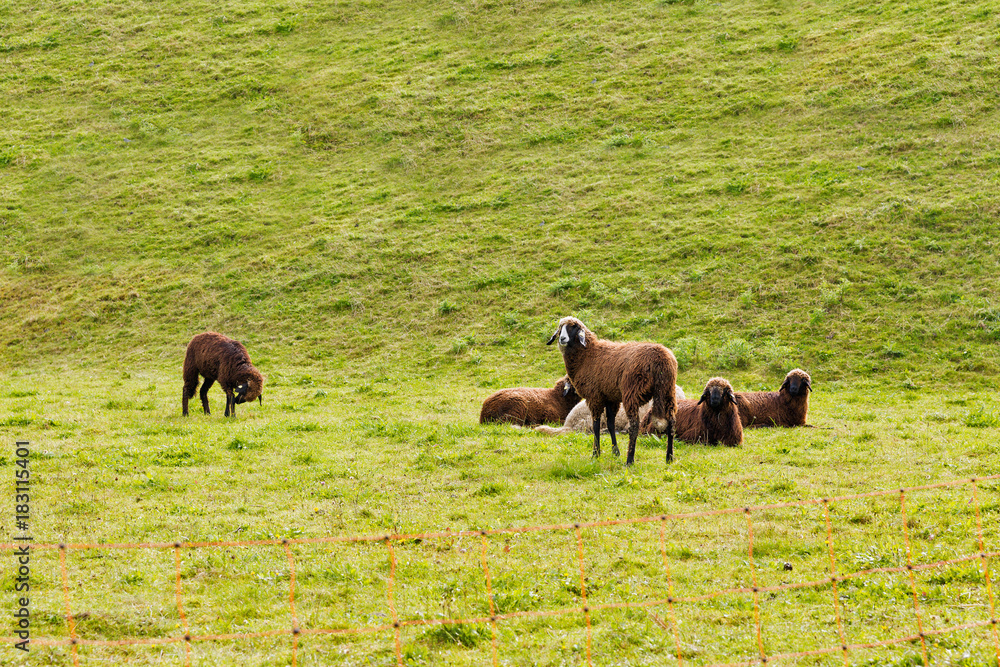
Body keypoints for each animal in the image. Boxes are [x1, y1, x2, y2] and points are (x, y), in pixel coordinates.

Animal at [547, 316, 678, 465]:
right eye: (560, 327)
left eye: (574, 326)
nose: (562, 338)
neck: (587, 355)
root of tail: (660, 359)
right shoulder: (610, 398)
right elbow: (610, 424)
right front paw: (615, 452)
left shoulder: (594, 397)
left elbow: (596, 425)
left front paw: (595, 454)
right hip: (668, 391)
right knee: (671, 423)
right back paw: (669, 457)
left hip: (632, 392)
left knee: (634, 426)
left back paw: (630, 460)